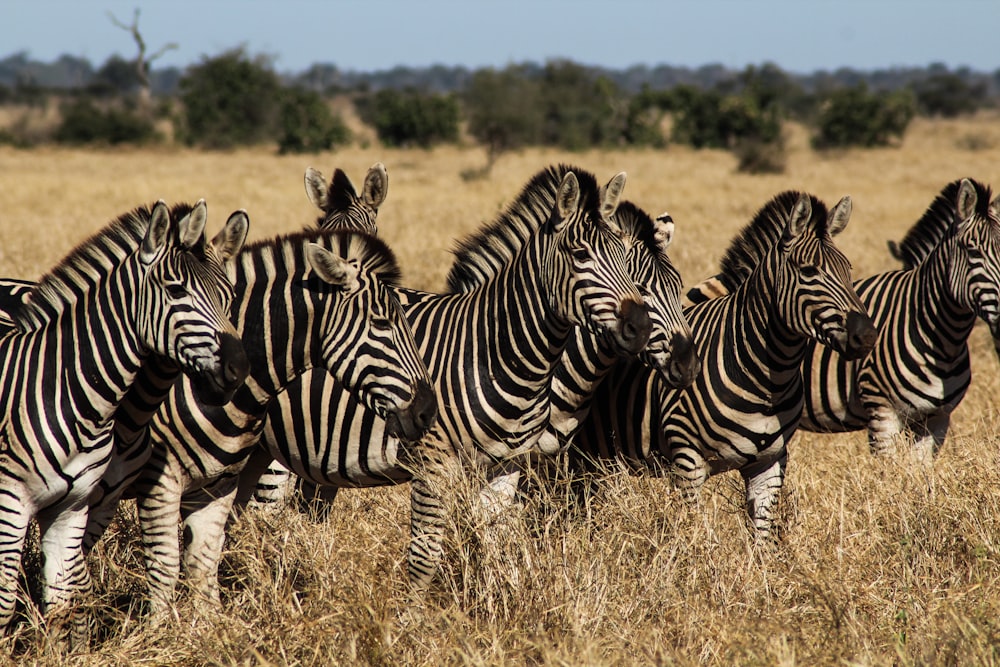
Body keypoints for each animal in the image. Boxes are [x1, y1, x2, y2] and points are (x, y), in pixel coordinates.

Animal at [0, 200, 248, 640]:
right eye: (175, 290)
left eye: (229, 296)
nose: (238, 370)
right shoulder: (10, 503)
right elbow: (6, 601)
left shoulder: (72, 508)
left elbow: (64, 602)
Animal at [232, 167, 672, 588]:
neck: (497, 351)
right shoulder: (434, 466)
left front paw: (502, 602)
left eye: (621, 256)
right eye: (580, 255)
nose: (638, 326)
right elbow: (425, 558)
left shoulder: (506, 466)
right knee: (260, 523)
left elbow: (499, 545)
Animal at [572, 190, 876, 540]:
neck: (766, 376)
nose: (868, 335)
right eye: (809, 271)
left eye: (848, 269)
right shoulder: (687, 461)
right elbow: (695, 532)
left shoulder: (769, 463)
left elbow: (762, 536)